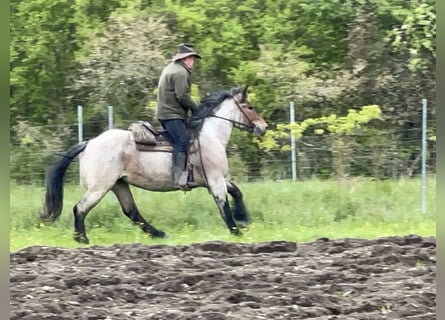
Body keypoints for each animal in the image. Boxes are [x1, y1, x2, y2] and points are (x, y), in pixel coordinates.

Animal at [42, 86, 268, 244]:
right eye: (250, 107)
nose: (263, 127)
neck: (209, 136)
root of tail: (89, 143)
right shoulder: (215, 180)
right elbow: (223, 205)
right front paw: (236, 231)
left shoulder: (215, 179)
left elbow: (236, 191)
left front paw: (243, 219)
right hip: (101, 187)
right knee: (80, 208)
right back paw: (82, 239)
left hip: (119, 184)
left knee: (132, 212)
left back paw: (158, 234)